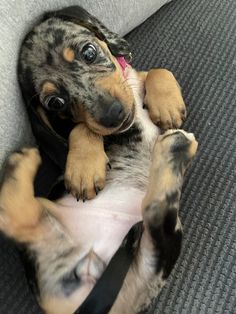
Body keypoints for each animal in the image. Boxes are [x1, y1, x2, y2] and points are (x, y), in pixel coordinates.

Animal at [18, 5, 186, 199]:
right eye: (55, 102)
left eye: (89, 52)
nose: (113, 114)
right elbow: (81, 127)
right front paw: (84, 166)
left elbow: (158, 71)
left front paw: (167, 106)